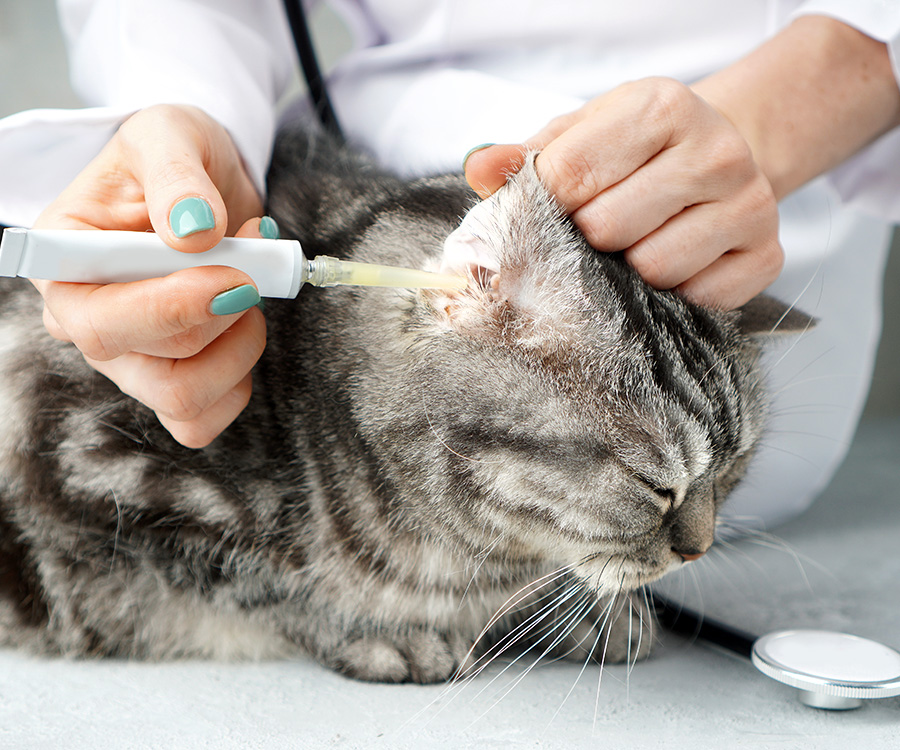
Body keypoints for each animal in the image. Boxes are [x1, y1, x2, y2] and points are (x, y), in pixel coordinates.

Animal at [0, 128, 808, 680]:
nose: (696, 549)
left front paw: (589, 617)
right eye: (655, 486)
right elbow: (247, 583)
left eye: (731, 473)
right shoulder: (95, 466)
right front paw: (376, 629)